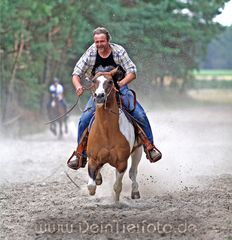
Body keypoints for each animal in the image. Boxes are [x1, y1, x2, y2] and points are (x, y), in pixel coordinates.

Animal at [86, 67, 142, 201]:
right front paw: (95, 184)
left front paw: (116, 202)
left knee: (133, 172)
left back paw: (135, 191)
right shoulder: (93, 159)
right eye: (94, 81)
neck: (107, 131)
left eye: (111, 81)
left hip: (138, 151)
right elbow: (91, 185)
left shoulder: (121, 163)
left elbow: (117, 186)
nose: (99, 96)